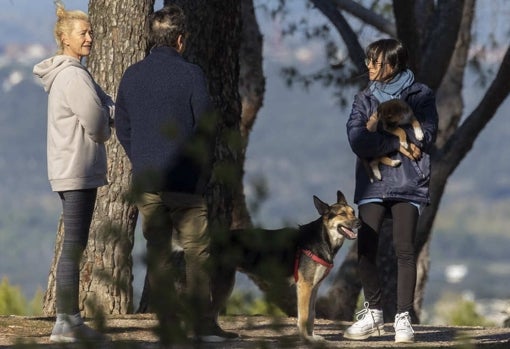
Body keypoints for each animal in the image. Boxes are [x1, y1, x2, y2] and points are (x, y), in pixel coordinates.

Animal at [209, 190, 360, 340]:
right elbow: (304, 316)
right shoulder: (304, 286)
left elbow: (312, 315)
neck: (323, 237)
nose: (359, 222)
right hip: (224, 283)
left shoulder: (314, 287)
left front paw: (311, 336)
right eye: (342, 214)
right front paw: (306, 339)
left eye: (353, 212)